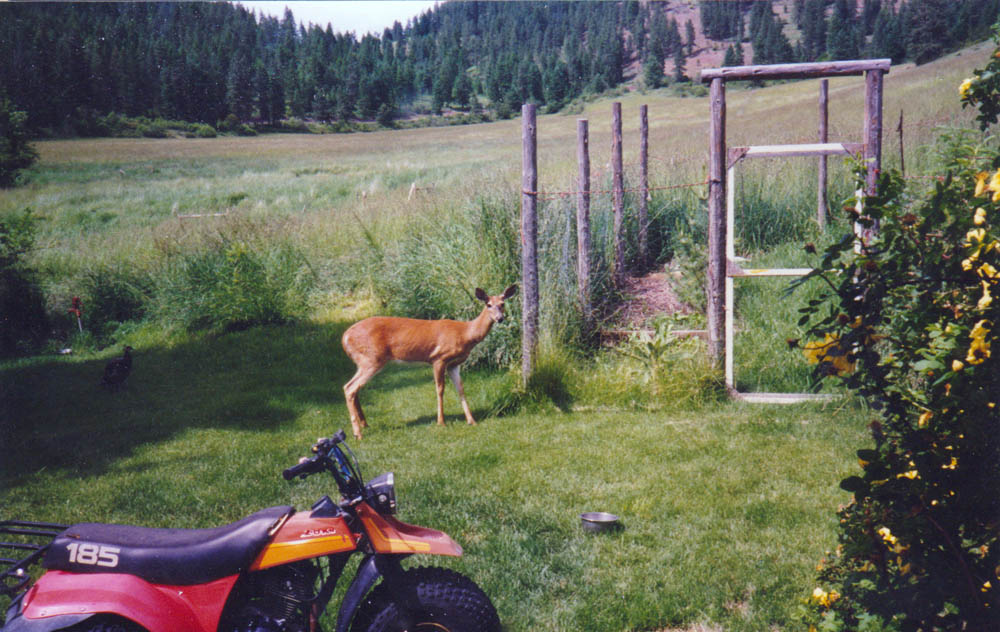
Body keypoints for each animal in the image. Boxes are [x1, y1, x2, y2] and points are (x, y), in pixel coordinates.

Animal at [341, 285, 517, 440]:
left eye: (502, 304)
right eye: (488, 304)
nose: (500, 319)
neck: (465, 333)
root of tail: (345, 337)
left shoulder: (454, 364)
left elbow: (460, 389)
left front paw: (471, 421)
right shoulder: (438, 358)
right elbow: (440, 389)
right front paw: (441, 422)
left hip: (365, 361)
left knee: (354, 388)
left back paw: (364, 424)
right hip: (371, 359)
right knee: (349, 387)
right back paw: (358, 434)